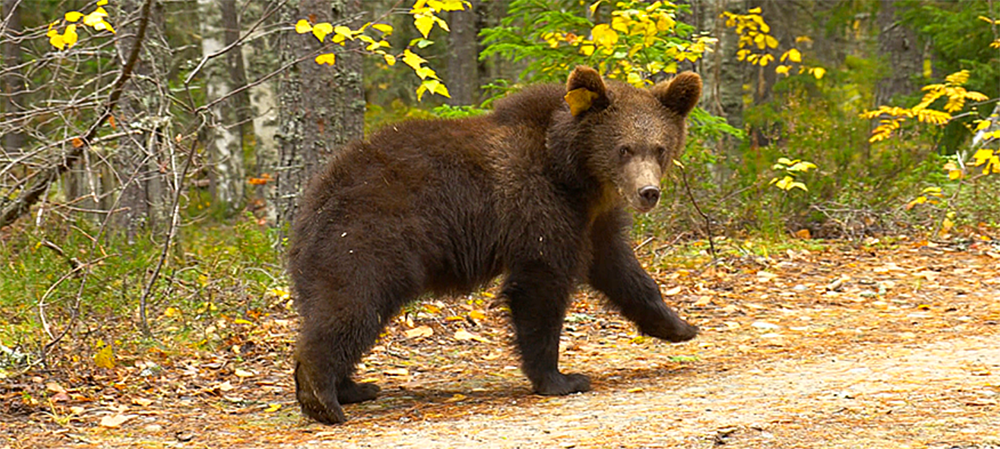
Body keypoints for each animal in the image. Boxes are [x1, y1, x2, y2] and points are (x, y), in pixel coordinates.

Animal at [286, 66, 700, 424]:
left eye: (659, 148)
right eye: (624, 148)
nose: (648, 192)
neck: (575, 174)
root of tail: (318, 195)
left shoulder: (593, 221)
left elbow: (621, 270)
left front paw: (679, 325)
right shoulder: (539, 207)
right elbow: (540, 288)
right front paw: (561, 379)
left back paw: (354, 387)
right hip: (371, 238)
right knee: (351, 306)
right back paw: (324, 400)